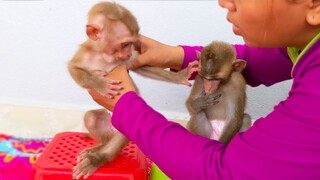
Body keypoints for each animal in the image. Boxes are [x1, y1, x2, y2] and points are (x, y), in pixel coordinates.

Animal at [68, 1, 195, 180]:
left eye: (132, 44)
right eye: (124, 44)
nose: (128, 53)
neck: (104, 55)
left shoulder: (129, 60)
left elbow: (143, 66)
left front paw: (179, 76)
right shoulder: (85, 56)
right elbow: (74, 69)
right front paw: (100, 84)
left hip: (126, 127)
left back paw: (99, 157)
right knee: (92, 118)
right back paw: (98, 147)